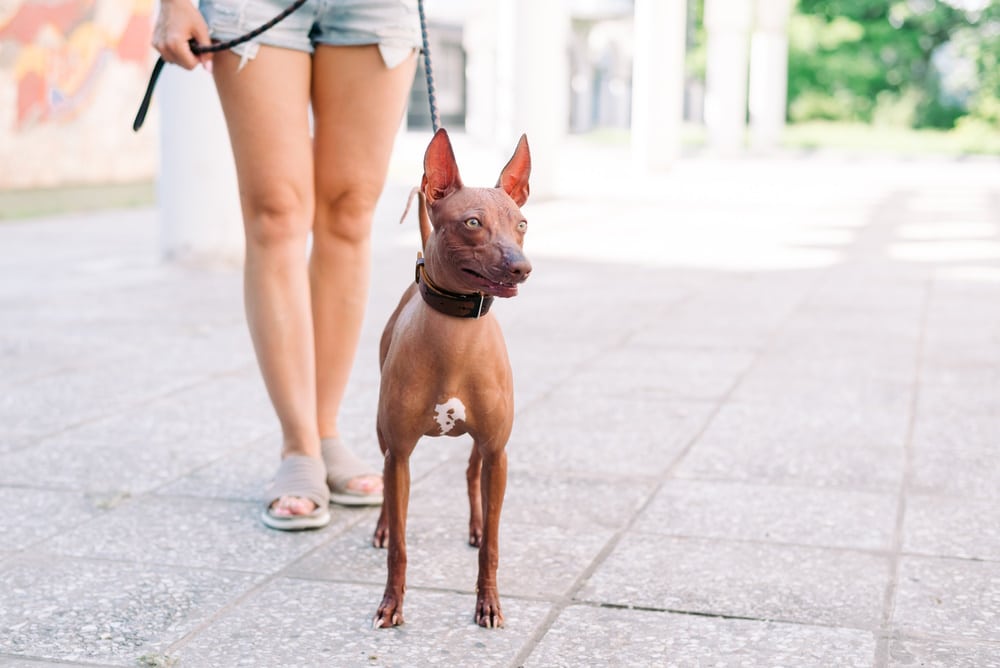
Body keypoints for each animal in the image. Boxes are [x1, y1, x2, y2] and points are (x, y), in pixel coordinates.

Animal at [372, 128, 532, 628]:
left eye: (522, 224)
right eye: (473, 223)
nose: (522, 266)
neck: (456, 335)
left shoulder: (499, 452)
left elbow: (494, 547)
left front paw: (488, 603)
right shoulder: (400, 455)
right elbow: (401, 545)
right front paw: (392, 604)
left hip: (486, 447)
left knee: (471, 470)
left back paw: (477, 526)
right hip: (384, 440)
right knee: (387, 490)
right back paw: (381, 527)